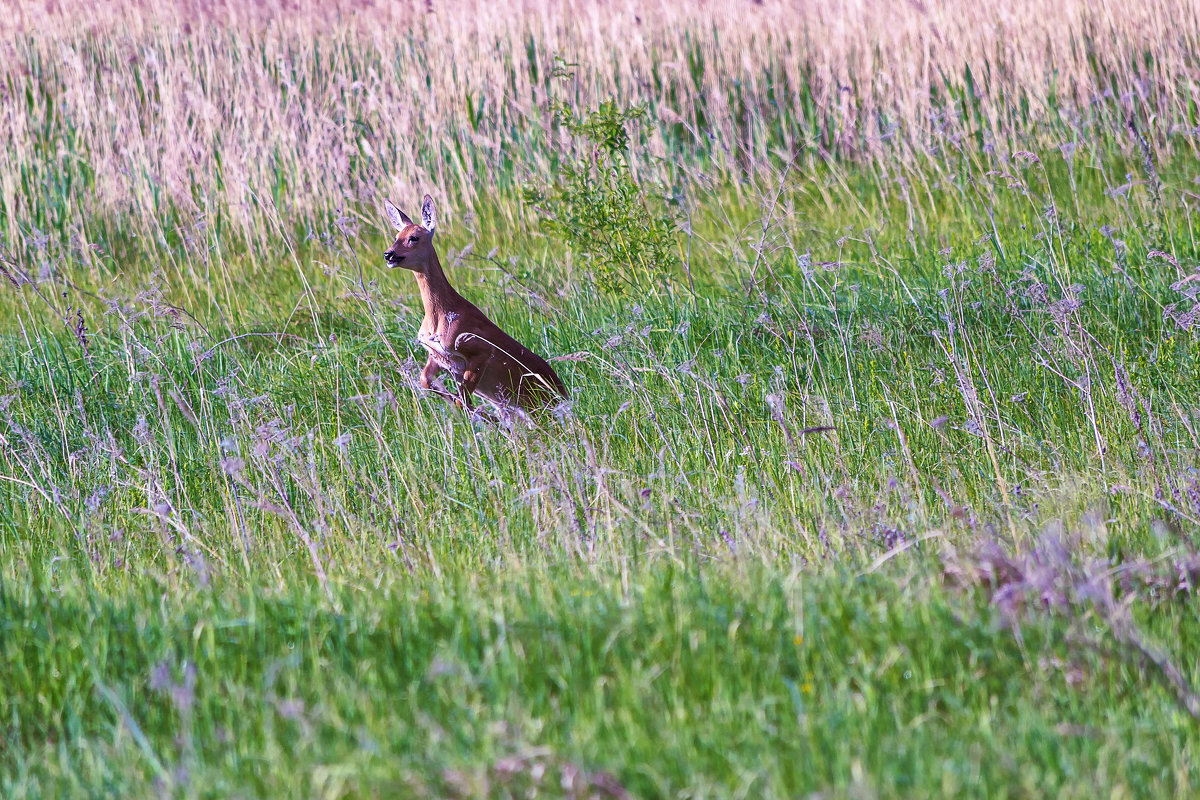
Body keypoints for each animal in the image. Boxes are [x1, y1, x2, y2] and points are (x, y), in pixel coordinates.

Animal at [384, 196, 571, 417]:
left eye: (414, 237)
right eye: (397, 235)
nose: (388, 254)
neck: (440, 315)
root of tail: (564, 393)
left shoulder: (478, 349)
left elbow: (462, 400)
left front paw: (483, 417)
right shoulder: (436, 355)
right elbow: (426, 381)